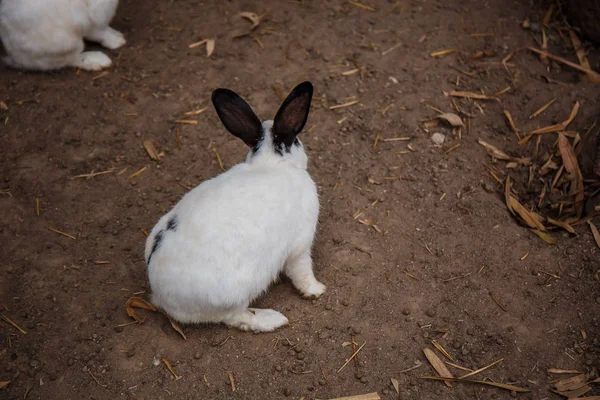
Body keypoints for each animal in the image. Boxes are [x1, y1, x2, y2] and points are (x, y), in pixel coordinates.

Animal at [145, 81, 326, 332]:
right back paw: (272, 319)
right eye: (297, 140)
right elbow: (302, 272)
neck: (272, 164)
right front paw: (316, 290)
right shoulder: (299, 246)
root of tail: (162, 297)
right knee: (236, 317)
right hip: (235, 295)